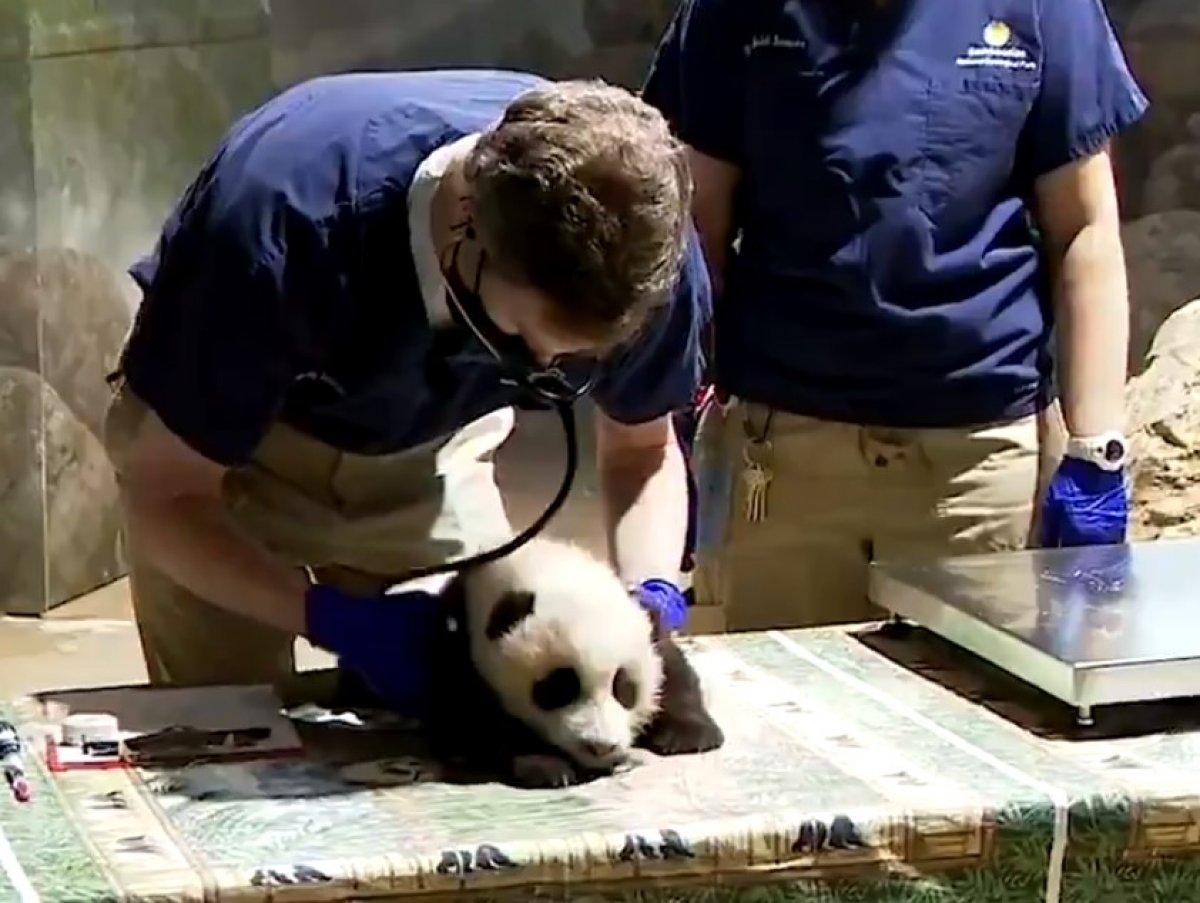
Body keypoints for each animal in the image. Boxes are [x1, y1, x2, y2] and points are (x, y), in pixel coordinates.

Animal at [425, 538, 725, 788]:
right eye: (558, 688)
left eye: (624, 690)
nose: (600, 747)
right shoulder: (463, 642)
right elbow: (477, 714)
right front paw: (546, 765)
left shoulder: (648, 625)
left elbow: (672, 672)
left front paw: (688, 736)